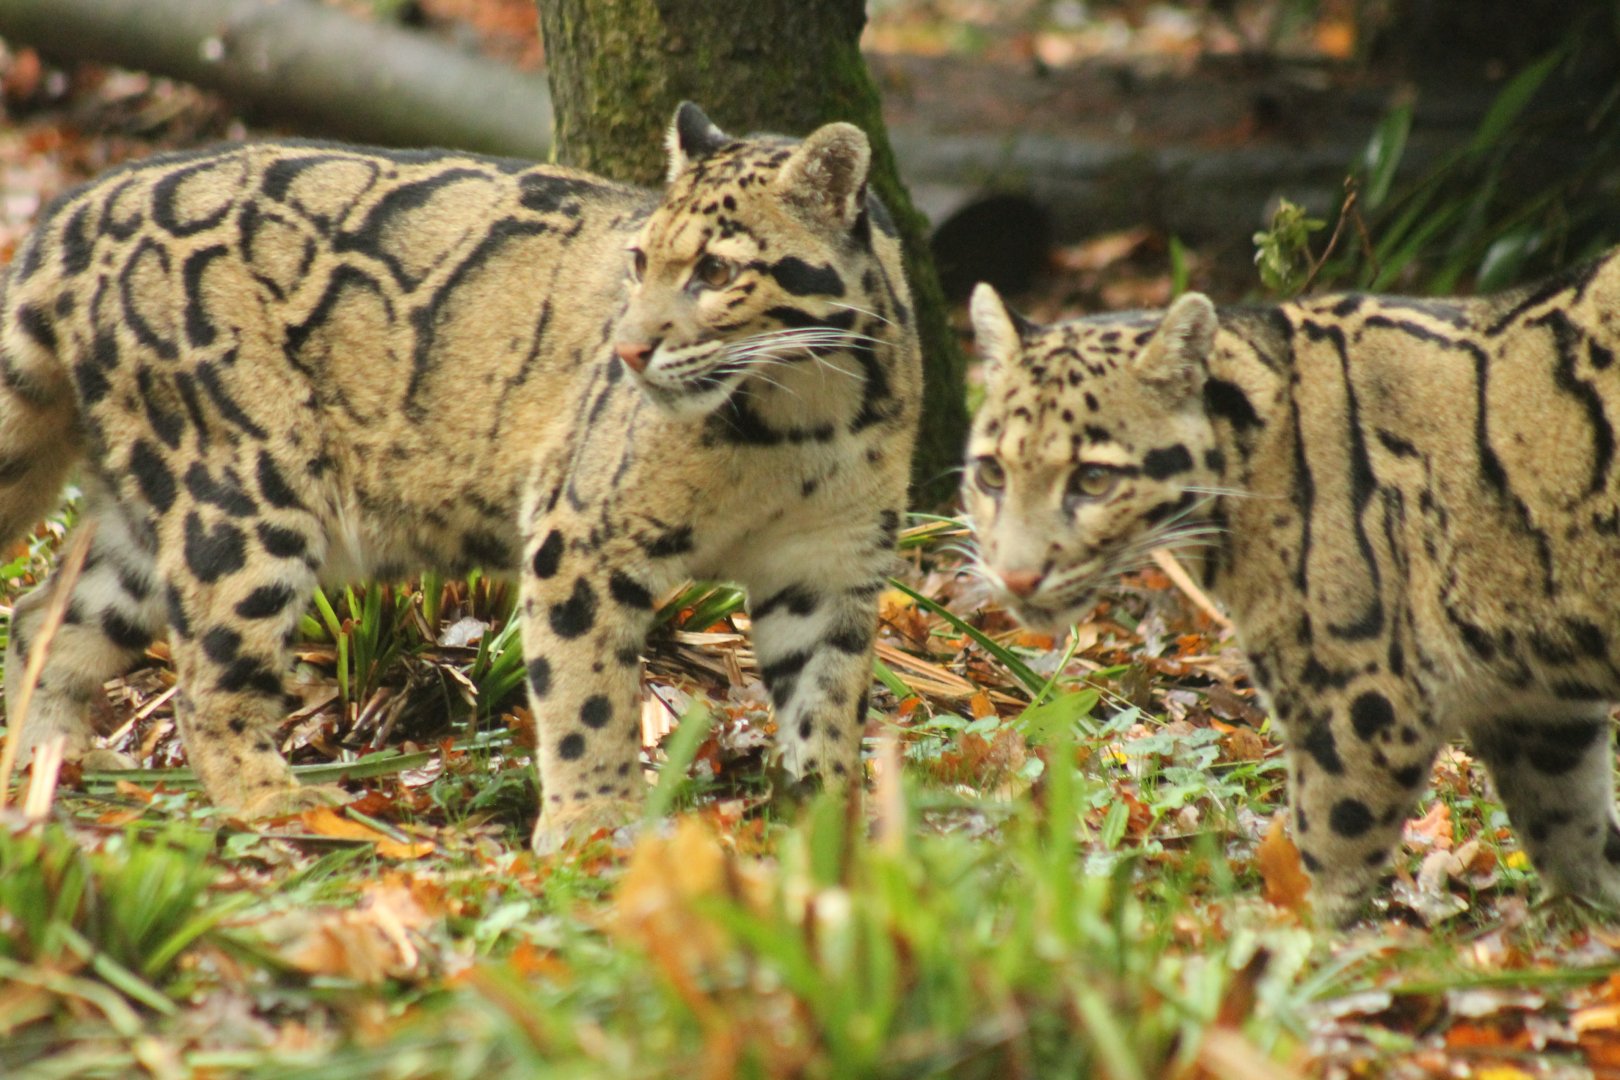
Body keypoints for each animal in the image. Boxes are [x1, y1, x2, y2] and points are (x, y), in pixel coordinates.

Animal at [0, 102, 921, 851]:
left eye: (718, 272)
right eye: (638, 261)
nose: (627, 350)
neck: (800, 419)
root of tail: (76, 210)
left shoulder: (830, 568)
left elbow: (827, 702)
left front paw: (828, 825)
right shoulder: (577, 538)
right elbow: (588, 698)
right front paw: (593, 829)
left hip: (149, 521)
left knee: (45, 616)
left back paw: (47, 769)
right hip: (242, 497)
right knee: (206, 684)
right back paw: (283, 808)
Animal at [963, 255, 1620, 924]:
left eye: (1093, 479)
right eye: (991, 473)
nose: (1015, 575)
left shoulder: (1359, 698)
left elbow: (1331, 842)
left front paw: (1285, 937)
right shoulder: (1536, 713)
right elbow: (1571, 830)